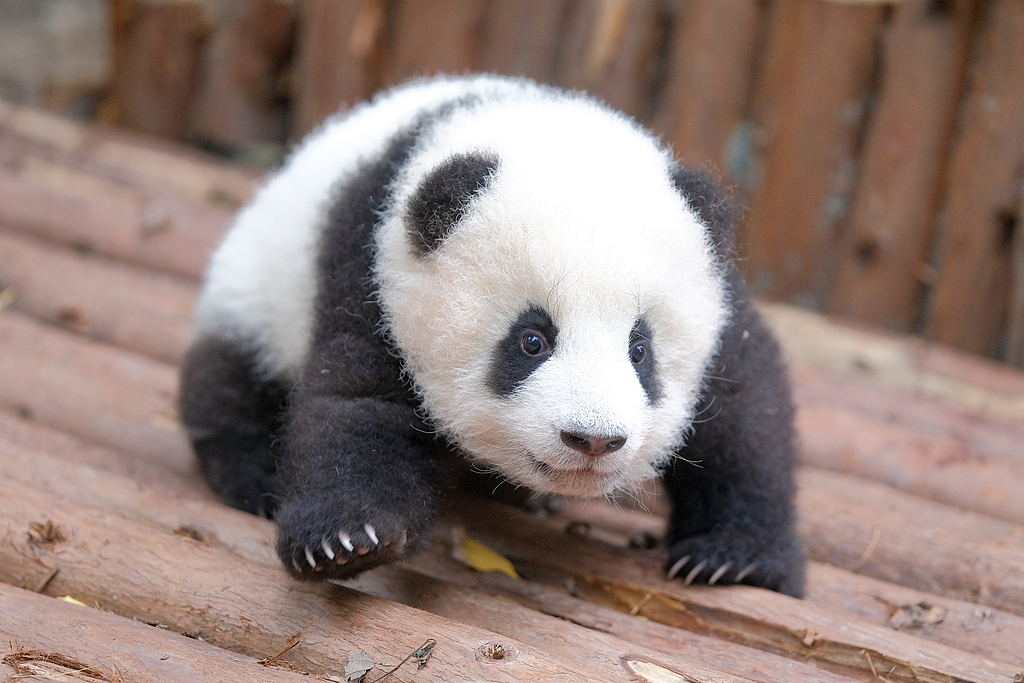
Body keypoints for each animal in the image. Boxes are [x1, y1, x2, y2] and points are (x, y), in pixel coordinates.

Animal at [179, 74, 805, 597]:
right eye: (532, 341)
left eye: (640, 348)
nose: (593, 440)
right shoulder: (373, 273)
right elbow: (357, 403)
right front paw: (343, 539)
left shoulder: (720, 300)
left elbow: (746, 416)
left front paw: (733, 557)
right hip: (254, 293)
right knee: (227, 384)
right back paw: (257, 478)